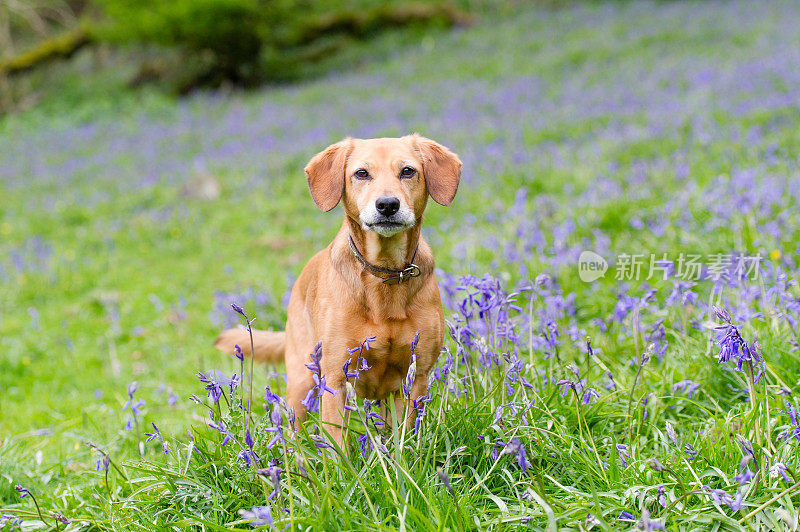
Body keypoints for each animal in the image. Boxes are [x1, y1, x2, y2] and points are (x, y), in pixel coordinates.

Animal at [214, 134, 462, 444]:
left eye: (407, 171)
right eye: (362, 173)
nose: (387, 205)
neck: (384, 272)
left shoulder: (415, 377)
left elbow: (404, 437)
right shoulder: (335, 378)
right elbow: (337, 445)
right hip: (302, 379)